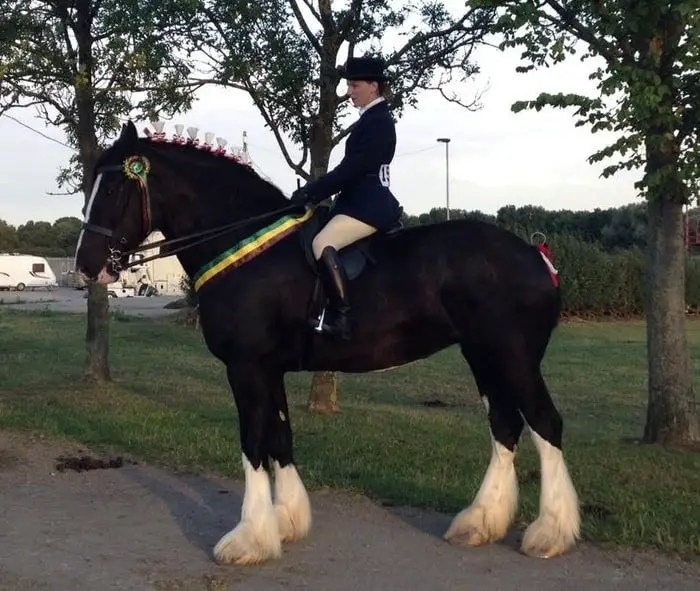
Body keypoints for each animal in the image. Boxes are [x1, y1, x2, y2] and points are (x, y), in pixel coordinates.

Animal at [76, 122, 580, 568]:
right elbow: (280, 437)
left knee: (544, 423)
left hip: (513, 356)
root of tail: (536, 255)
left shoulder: (245, 367)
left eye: (114, 188)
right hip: (482, 356)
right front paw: (286, 522)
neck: (242, 245)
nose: (87, 265)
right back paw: (480, 522)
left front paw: (249, 539)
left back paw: (550, 534)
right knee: (505, 425)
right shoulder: (268, 369)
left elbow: (253, 442)